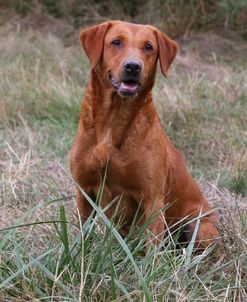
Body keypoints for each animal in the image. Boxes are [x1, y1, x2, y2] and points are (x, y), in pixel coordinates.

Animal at [69, 20, 218, 248]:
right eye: (116, 42)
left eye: (148, 47)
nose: (133, 66)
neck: (113, 120)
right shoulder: (84, 192)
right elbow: (81, 238)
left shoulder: (153, 200)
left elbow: (151, 249)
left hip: (201, 226)